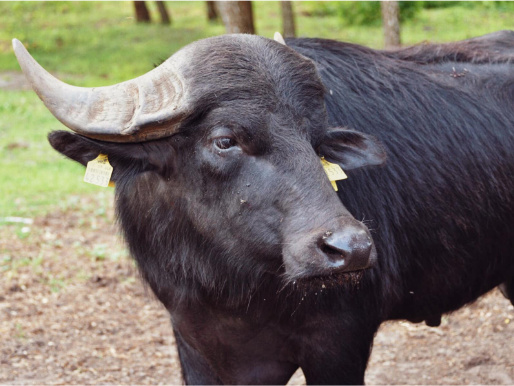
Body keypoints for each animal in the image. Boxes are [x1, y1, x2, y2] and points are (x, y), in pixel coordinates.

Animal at [13, 30, 512, 386]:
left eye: (317, 141)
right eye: (225, 139)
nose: (350, 249)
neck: (231, 288)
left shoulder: (340, 344)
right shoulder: (194, 344)